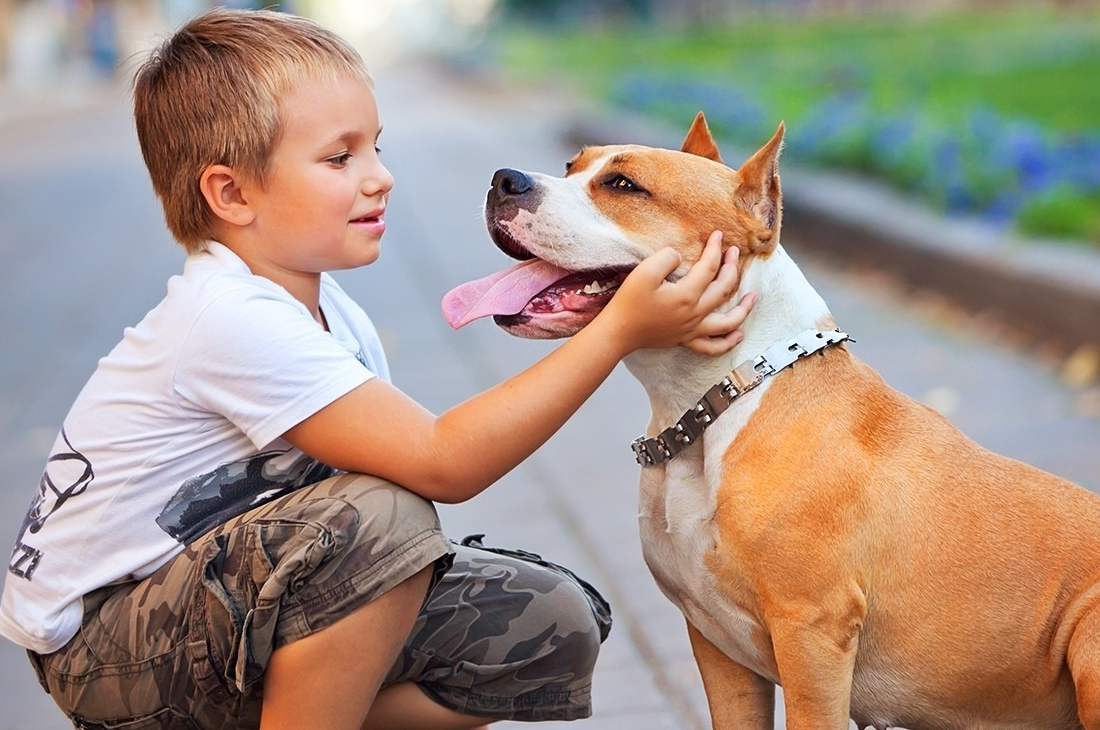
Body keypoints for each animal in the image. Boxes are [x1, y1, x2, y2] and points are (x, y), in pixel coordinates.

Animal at [437, 114, 1100, 729]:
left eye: (624, 185)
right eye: (571, 166)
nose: (504, 179)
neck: (713, 406)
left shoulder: (812, 635)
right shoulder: (716, 646)